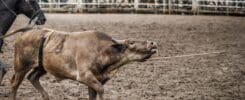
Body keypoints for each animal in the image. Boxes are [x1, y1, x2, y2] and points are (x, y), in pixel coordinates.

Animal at [10, 28, 157, 100]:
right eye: (131, 42)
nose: (153, 43)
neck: (102, 51)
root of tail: (22, 35)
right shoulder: (84, 76)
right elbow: (101, 90)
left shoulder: (96, 79)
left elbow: (94, 94)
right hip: (21, 65)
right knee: (14, 84)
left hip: (41, 67)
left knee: (32, 77)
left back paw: (46, 96)